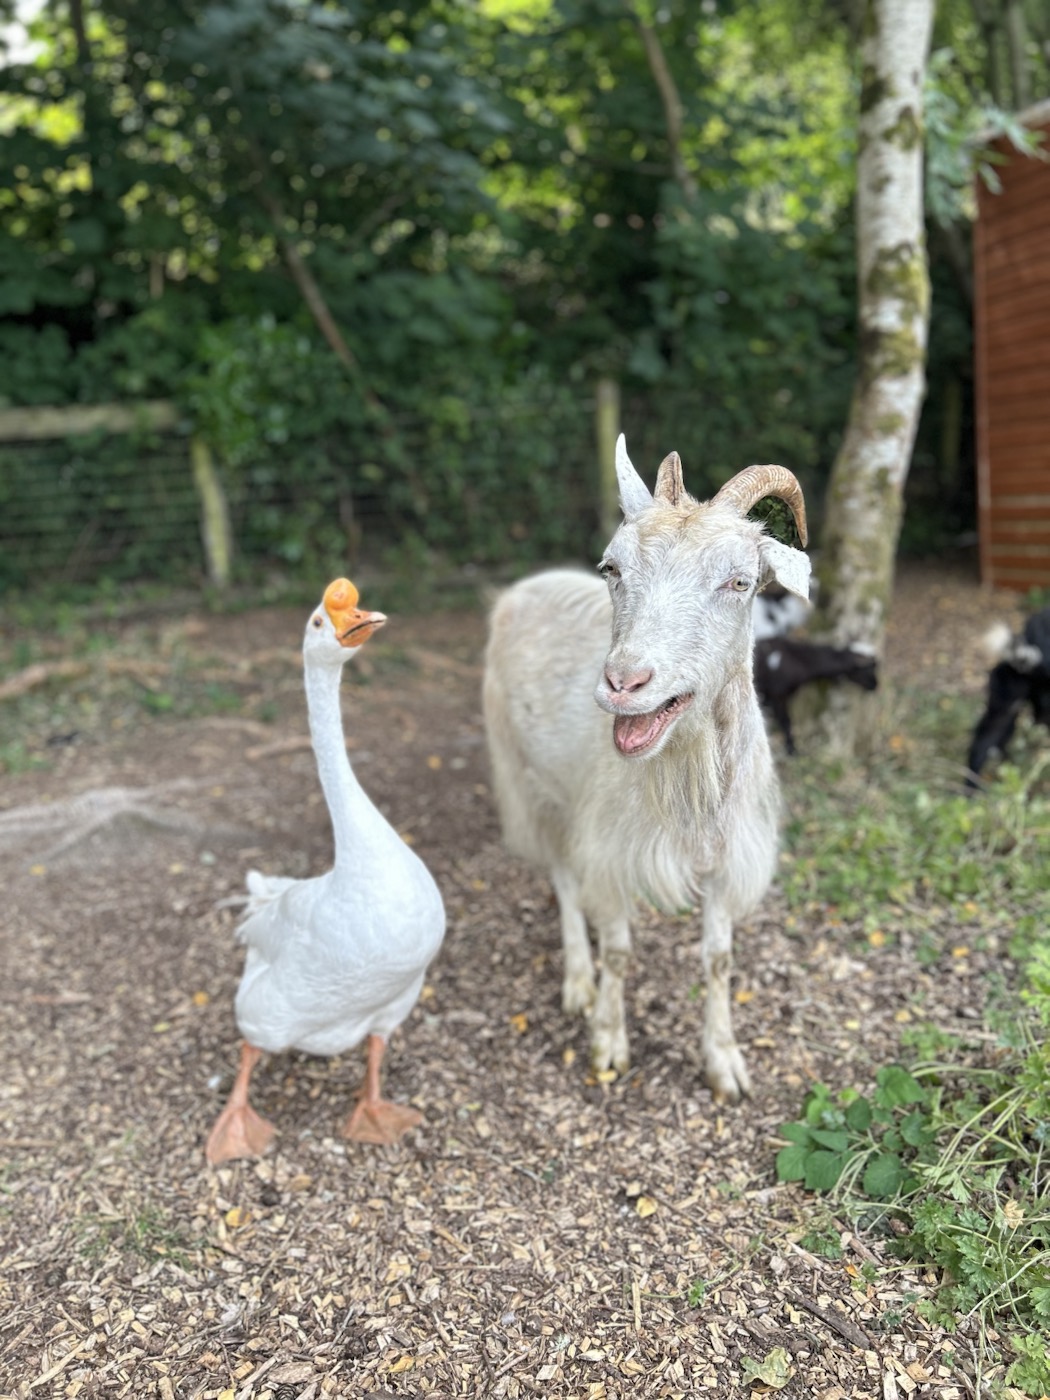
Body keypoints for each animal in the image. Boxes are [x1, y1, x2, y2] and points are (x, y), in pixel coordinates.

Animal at [482, 437, 810, 1101]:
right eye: (612, 569)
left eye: (740, 581)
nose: (624, 682)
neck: (686, 785)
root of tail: (523, 588)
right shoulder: (609, 848)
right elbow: (618, 950)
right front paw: (608, 1041)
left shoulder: (726, 859)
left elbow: (719, 960)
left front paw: (723, 1061)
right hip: (527, 779)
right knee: (562, 878)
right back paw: (578, 980)